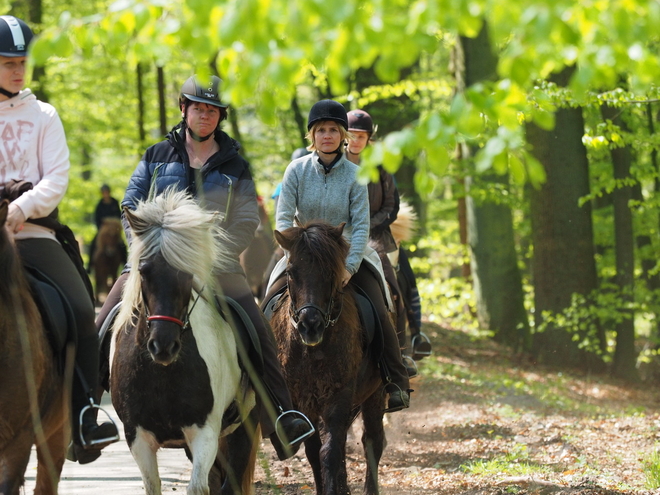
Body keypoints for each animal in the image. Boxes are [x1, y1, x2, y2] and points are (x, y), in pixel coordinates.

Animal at [109, 191, 256, 495]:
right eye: (144, 271)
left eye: (188, 274)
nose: (163, 346)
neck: (162, 374)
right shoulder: (137, 437)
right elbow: (153, 486)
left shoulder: (205, 432)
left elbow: (198, 487)